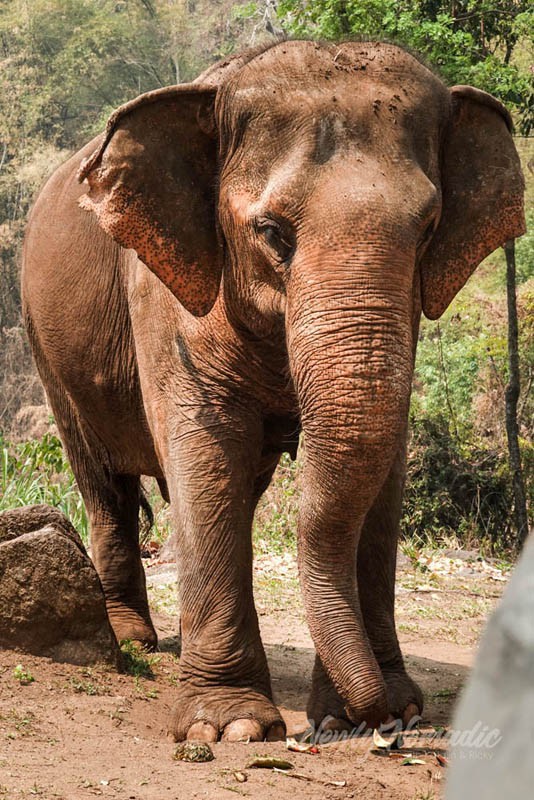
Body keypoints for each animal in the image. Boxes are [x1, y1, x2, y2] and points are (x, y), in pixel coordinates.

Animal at [23, 39, 524, 744]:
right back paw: (136, 640)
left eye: (428, 229)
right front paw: (229, 727)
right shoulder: (166, 297)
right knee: (103, 478)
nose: (377, 718)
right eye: (272, 233)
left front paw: (381, 709)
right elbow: (207, 450)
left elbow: (384, 468)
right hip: (46, 345)